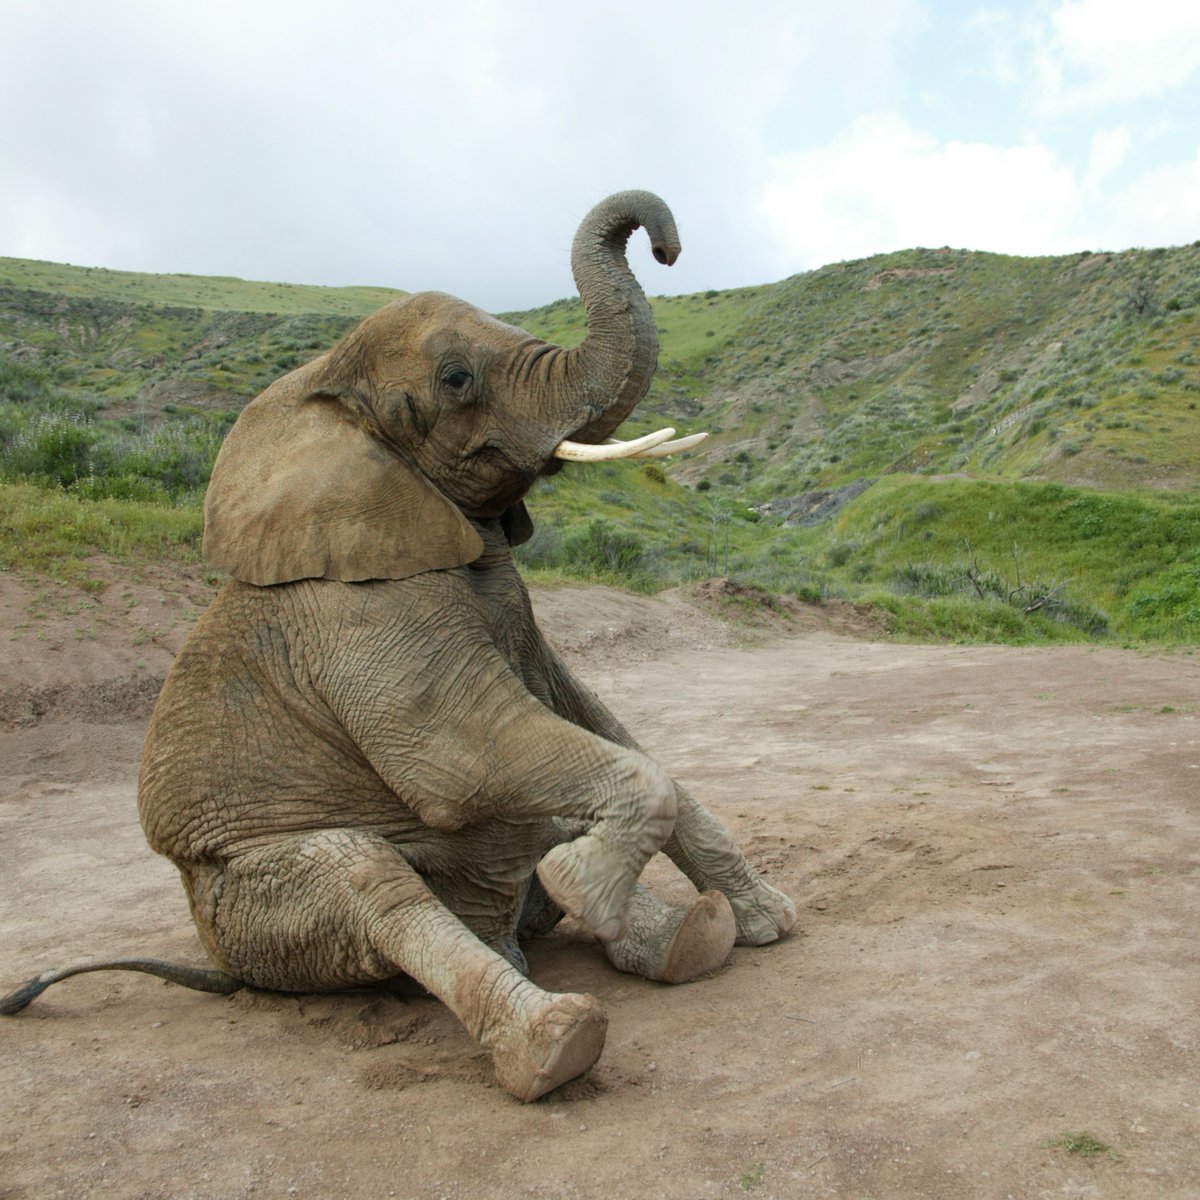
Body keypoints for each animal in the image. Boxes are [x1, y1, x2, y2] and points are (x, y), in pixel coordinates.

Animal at [2, 192, 796, 1099]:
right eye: (456, 380)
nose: (666, 245)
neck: (319, 391)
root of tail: (224, 968)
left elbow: (597, 724)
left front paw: (769, 921)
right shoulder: (356, 611)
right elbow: (459, 758)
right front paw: (586, 890)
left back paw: (690, 939)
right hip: (254, 908)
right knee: (371, 881)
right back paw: (555, 1039)